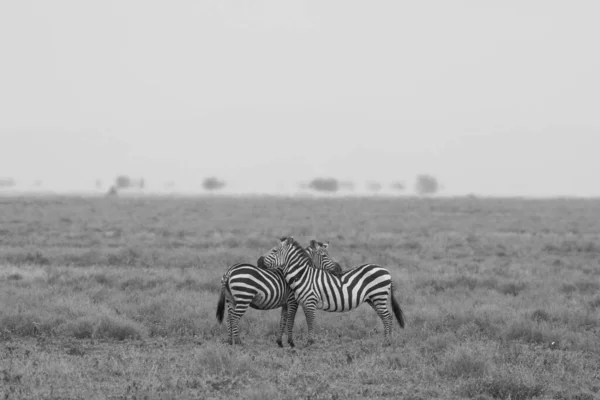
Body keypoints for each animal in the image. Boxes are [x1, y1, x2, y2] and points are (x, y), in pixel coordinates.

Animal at [255, 236, 406, 346]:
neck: (303, 275)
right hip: (373, 299)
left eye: (274, 251)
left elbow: (309, 321)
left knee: (387, 317)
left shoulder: (309, 301)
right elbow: (296, 320)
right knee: (386, 317)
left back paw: (387, 343)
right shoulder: (302, 302)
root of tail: (385, 270)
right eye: (324, 255)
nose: (258, 262)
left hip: (378, 296)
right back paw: (386, 341)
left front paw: (309, 343)